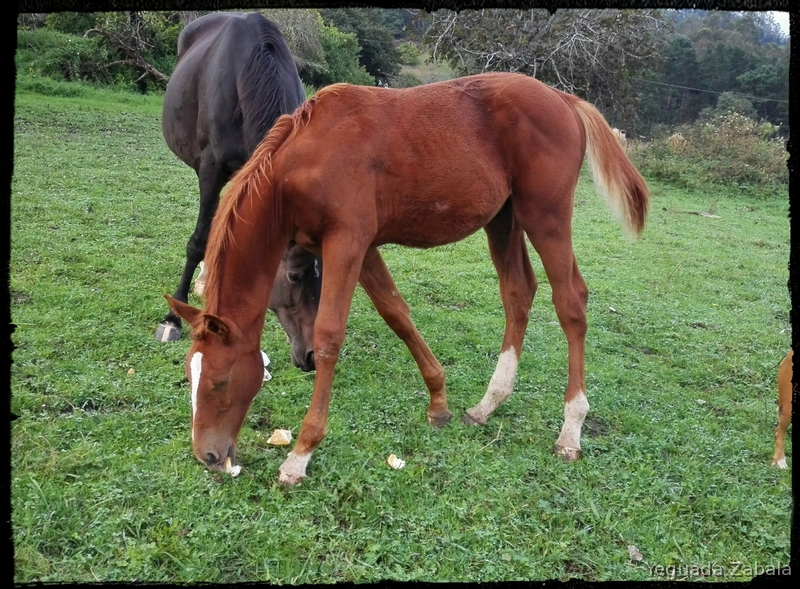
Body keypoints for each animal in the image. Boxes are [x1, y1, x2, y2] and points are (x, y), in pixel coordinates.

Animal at [166, 72, 650, 485]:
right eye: (190, 376)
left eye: (219, 381)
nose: (208, 455)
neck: (306, 157)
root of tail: (563, 99)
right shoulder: (363, 248)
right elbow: (396, 312)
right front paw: (439, 403)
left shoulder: (347, 242)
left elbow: (329, 336)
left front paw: (300, 454)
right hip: (504, 220)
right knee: (518, 293)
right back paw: (487, 405)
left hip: (545, 216)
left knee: (571, 301)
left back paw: (571, 430)